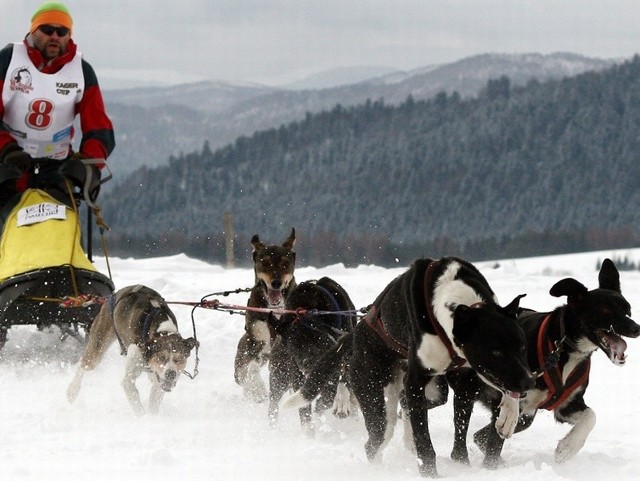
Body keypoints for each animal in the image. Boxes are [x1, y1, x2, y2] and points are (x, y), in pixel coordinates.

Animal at [66, 284, 198, 414]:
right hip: (98, 345)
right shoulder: (129, 379)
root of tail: (113, 295)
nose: (171, 373)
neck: (161, 330)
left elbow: (154, 403)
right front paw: (143, 417)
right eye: (161, 357)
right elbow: (137, 404)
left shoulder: (158, 381)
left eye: (179, 359)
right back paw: (72, 390)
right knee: (83, 364)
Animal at [234, 229, 296, 402]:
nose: (276, 282)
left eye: (285, 263)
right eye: (265, 262)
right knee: (242, 374)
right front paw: (257, 388)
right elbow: (253, 367)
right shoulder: (255, 339)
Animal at [264, 276, 358, 434]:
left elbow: (331, 394)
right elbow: (305, 411)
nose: (308, 366)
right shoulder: (298, 375)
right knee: (273, 403)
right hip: (279, 375)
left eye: (322, 343)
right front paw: (308, 433)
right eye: (293, 347)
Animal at [288, 256, 532, 474]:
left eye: (522, 347)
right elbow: (424, 441)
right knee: (374, 441)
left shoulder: (468, 378)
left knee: (405, 407)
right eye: (496, 352)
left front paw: (509, 414)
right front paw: (430, 473)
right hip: (375, 397)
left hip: (435, 390)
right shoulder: (416, 382)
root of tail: (356, 334)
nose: (529, 382)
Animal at [448, 256, 640, 466]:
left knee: (479, 435)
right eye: (605, 309)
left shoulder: (567, 405)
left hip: (526, 416)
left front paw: (568, 447)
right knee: (463, 432)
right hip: (467, 392)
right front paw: (490, 468)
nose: (636, 328)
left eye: (627, 309)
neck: (563, 348)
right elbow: (494, 444)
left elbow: (591, 416)